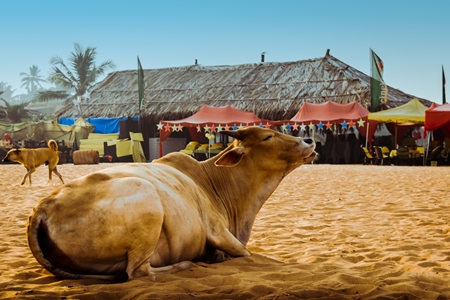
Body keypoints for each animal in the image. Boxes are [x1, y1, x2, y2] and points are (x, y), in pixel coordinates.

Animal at [27, 127, 316, 282]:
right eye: (267, 137)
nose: (310, 140)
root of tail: (41, 210)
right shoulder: (218, 231)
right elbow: (245, 253)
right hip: (146, 197)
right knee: (138, 272)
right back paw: (187, 265)